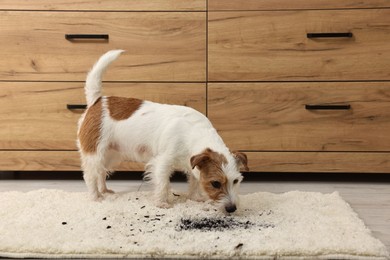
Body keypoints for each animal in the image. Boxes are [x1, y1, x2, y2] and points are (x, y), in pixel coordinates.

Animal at [77, 49, 248, 212]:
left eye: (236, 181)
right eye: (215, 183)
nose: (232, 209)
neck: (194, 132)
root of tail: (97, 101)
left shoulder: (192, 162)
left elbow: (194, 181)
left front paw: (194, 197)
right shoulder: (162, 163)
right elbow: (163, 184)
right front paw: (162, 203)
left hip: (110, 155)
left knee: (101, 172)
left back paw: (104, 190)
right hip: (95, 153)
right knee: (90, 175)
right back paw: (96, 197)